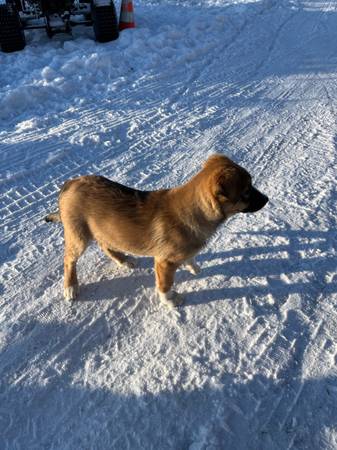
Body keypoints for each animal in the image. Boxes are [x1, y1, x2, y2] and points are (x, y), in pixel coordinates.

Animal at [45, 154, 268, 306]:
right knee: (69, 260)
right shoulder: (164, 263)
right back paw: (71, 287)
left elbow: (190, 258)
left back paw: (123, 260)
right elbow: (164, 286)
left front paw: (193, 267)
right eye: (246, 192)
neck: (196, 210)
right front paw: (170, 302)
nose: (267, 199)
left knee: (105, 244)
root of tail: (70, 183)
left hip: (102, 229)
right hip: (79, 235)